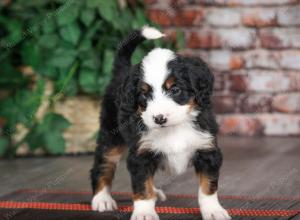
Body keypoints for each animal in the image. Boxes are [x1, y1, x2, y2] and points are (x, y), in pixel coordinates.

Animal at [90, 26, 231, 220]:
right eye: (144, 94)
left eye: (175, 90)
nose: (159, 118)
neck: (173, 128)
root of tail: (121, 73)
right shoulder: (141, 155)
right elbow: (142, 188)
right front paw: (144, 213)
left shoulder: (207, 150)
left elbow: (208, 187)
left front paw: (213, 210)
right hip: (111, 135)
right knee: (104, 164)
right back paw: (102, 198)